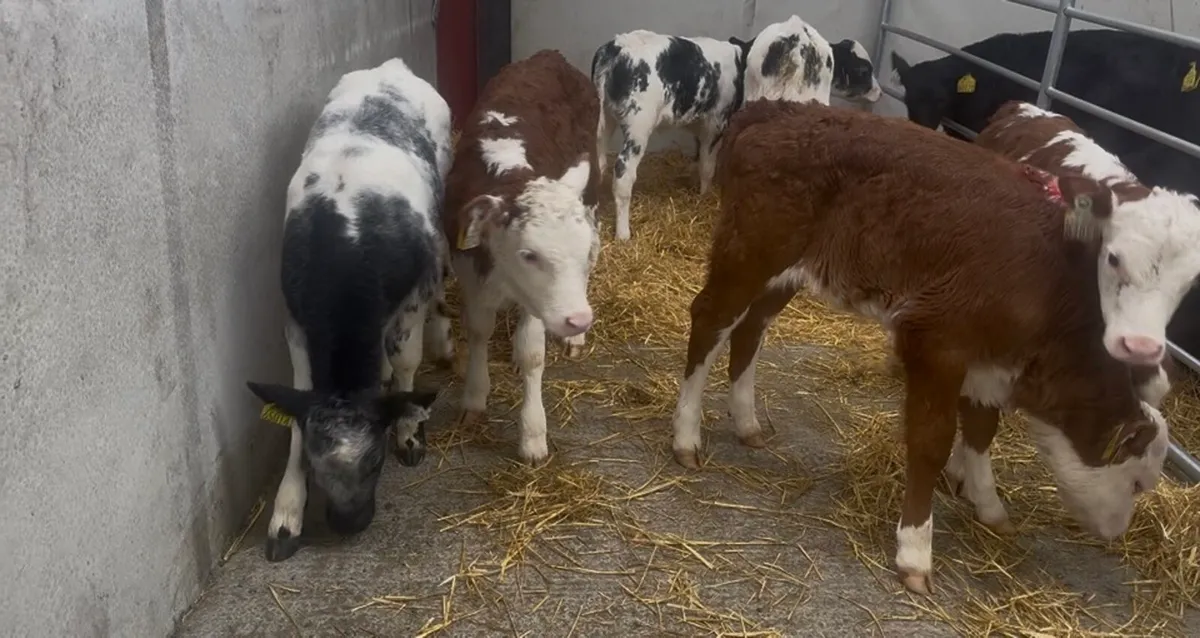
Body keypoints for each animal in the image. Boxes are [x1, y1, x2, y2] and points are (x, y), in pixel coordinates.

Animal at [243, 57, 453, 562]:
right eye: (316, 463)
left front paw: (409, 429)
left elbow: (407, 361)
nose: (347, 523)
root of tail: (392, 67)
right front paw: (287, 510)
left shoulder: (411, 297)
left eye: (375, 458)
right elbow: (298, 404)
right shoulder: (295, 322)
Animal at [442, 50, 601, 464]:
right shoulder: (471, 273)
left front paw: (532, 435)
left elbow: (533, 353)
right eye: (529, 254)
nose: (578, 319)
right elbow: (478, 330)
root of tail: (550, 56)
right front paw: (475, 398)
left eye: (583, 250)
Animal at [592, 16, 880, 241]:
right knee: (623, 175)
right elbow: (708, 165)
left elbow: (700, 158)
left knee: (600, 162)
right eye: (863, 70)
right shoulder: (716, 123)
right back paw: (623, 233)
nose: (878, 92)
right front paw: (704, 196)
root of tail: (617, 47)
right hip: (638, 126)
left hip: (604, 120)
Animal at [671, 99, 1170, 595]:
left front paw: (989, 506)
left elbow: (981, 430)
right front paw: (915, 551)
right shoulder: (936, 341)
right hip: (749, 253)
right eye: (1137, 483)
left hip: (785, 272)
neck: (1051, 289)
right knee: (711, 320)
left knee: (750, 329)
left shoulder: (988, 362)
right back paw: (686, 435)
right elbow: (933, 442)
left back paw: (747, 421)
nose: (1116, 533)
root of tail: (779, 110)